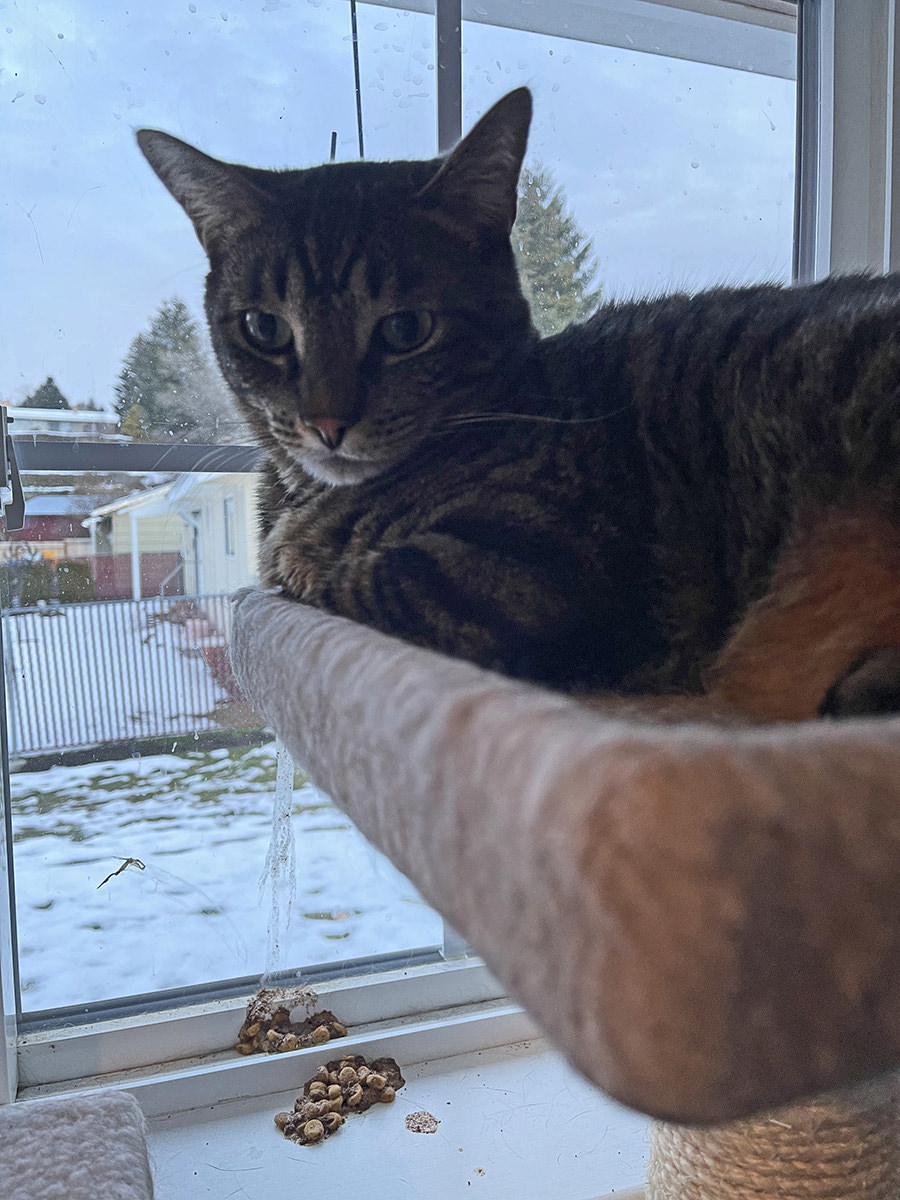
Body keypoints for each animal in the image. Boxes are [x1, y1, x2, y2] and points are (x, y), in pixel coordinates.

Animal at [139, 91, 900, 720]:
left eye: (405, 330)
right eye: (264, 328)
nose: (326, 423)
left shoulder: (533, 571)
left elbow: (352, 579)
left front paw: (308, 563)